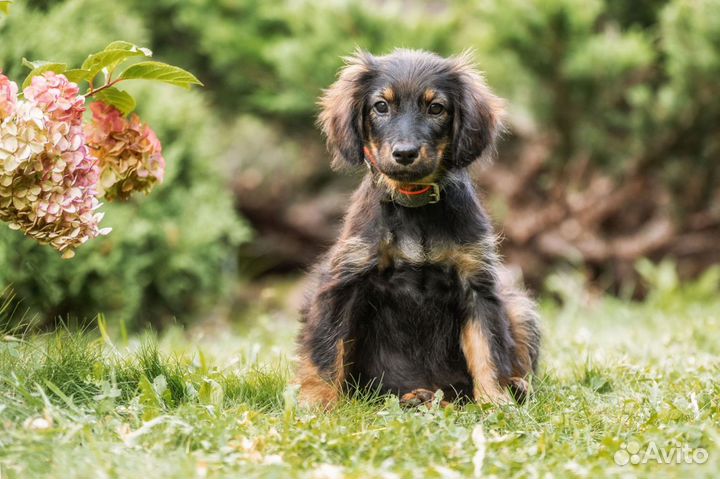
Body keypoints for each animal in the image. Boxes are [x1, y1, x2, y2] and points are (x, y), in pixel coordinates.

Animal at [294, 49, 540, 408]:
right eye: (381, 106)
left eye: (436, 108)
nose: (405, 153)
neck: (415, 205)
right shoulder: (344, 279)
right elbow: (326, 348)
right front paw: (317, 402)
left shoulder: (477, 284)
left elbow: (489, 348)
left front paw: (495, 401)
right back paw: (418, 396)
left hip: (519, 309)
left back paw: (515, 386)